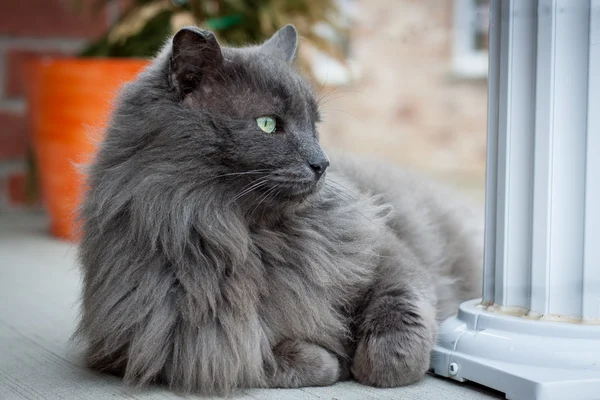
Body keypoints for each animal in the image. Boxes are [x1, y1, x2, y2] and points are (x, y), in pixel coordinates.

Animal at [78, 25, 482, 396]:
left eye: (314, 126)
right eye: (268, 124)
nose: (322, 163)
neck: (251, 239)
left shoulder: (388, 257)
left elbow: (397, 330)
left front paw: (369, 364)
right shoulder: (175, 346)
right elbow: (267, 360)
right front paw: (335, 361)